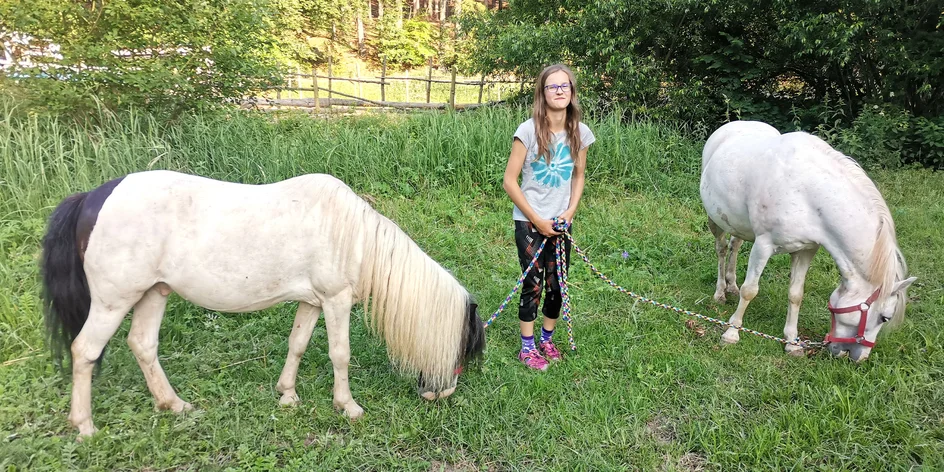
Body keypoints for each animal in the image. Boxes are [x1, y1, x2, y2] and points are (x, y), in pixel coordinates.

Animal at [40, 170, 484, 438]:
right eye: (464, 348)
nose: (441, 395)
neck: (353, 237)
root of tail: (93, 197)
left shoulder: (312, 302)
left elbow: (298, 344)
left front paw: (287, 395)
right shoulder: (336, 301)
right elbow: (339, 354)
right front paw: (348, 406)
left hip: (154, 292)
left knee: (143, 345)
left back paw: (174, 404)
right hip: (113, 301)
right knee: (85, 351)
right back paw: (85, 426)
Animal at [700, 121, 916, 362]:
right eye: (884, 317)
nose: (860, 357)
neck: (808, 194)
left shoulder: (806, 250)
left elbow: (796, 295)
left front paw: (792, 343)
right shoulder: (763, 246)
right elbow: (750, 290)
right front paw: (732, 333)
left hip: (738, 224)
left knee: (735, 246)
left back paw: (731, 286)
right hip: (715, 220)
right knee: (721, 249)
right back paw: (720, 292)